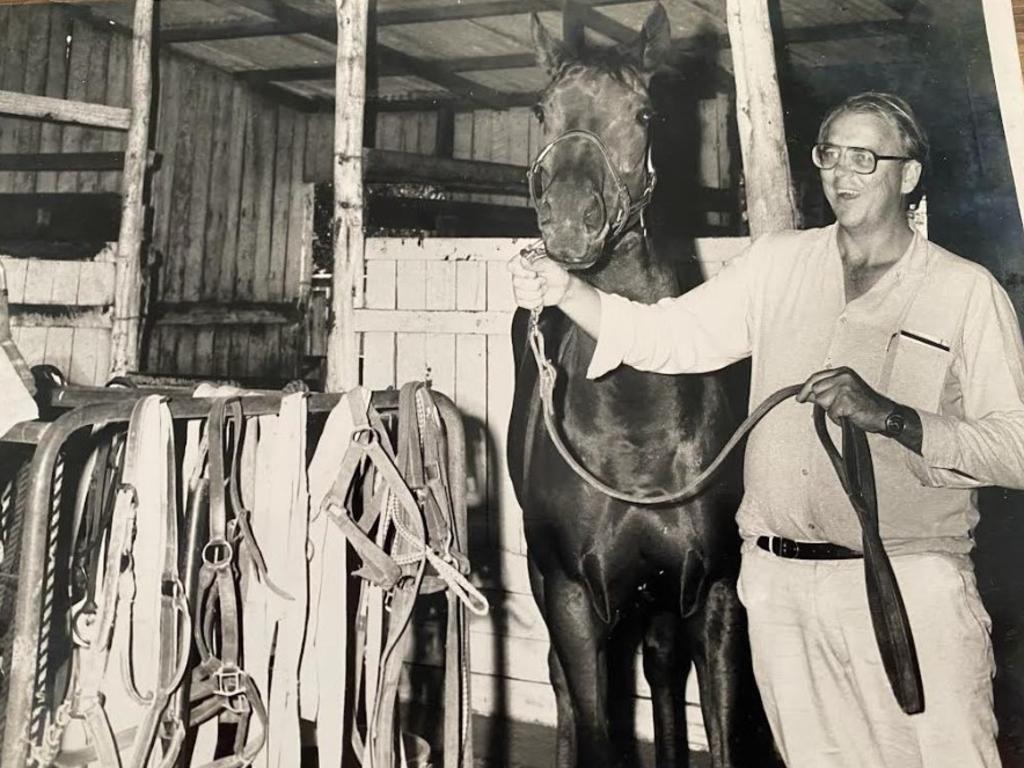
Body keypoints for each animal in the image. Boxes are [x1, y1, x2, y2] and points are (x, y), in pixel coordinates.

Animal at [507, 7, 770, 768]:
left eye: (645, 112)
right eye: (542, 110)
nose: (569, 220)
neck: (637, 430)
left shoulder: (715, 594)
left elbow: (718, 723)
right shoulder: (572, 597)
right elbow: (597, 724)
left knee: (660, 673)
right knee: (565, 689)